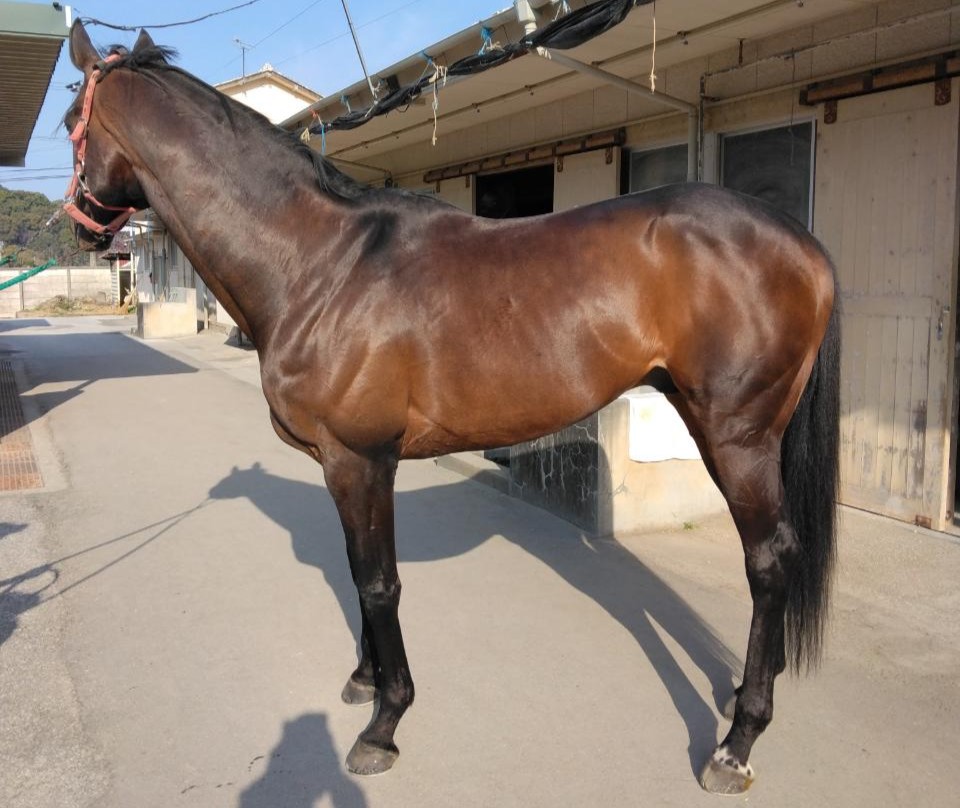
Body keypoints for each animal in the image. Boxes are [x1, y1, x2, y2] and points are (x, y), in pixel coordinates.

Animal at [63, 21, 840, 795]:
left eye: (73, 120)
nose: (80, 226)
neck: (320, 263)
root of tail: (804, 245)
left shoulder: (359, 460)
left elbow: (379, 584)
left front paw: (383, 724)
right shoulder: (345, 466)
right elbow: (358, 572)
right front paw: (363, 679)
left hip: (737, 437)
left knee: (769, 560)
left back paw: (736, 744)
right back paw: (741, 697)